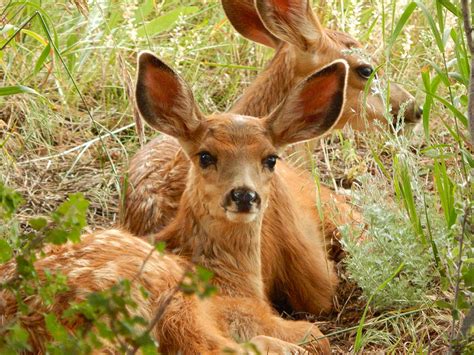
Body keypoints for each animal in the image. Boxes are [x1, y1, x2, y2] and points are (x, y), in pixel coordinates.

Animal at [0, 52, 348, 354]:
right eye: (206, 156)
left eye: (271, 159)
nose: (244, 195)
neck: (228, 275)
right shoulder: (240, 312)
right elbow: (313, 334)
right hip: (167, 291)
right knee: (207, 347)